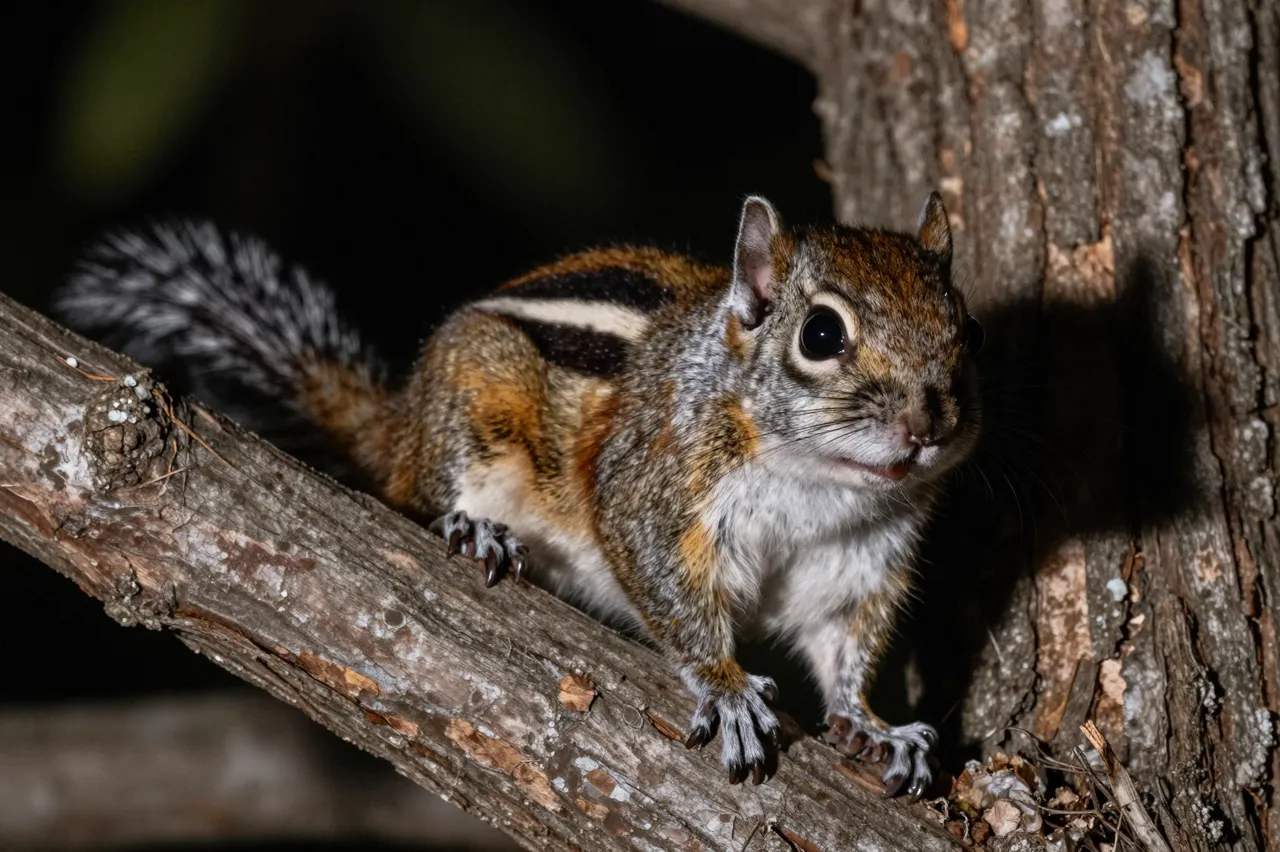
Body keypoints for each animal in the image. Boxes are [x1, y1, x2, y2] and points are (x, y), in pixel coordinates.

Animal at [57, 193, 983, 797]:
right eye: (821, 334)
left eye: (966, 332)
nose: (926, 425)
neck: (823, 483)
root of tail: (401, 422)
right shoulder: (656, 483)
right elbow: (669, 588)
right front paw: (724, 686)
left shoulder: (856, 561)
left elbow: (844, 647)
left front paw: (872, 725)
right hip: (476, 405)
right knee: (418, 491)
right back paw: (474, 529)